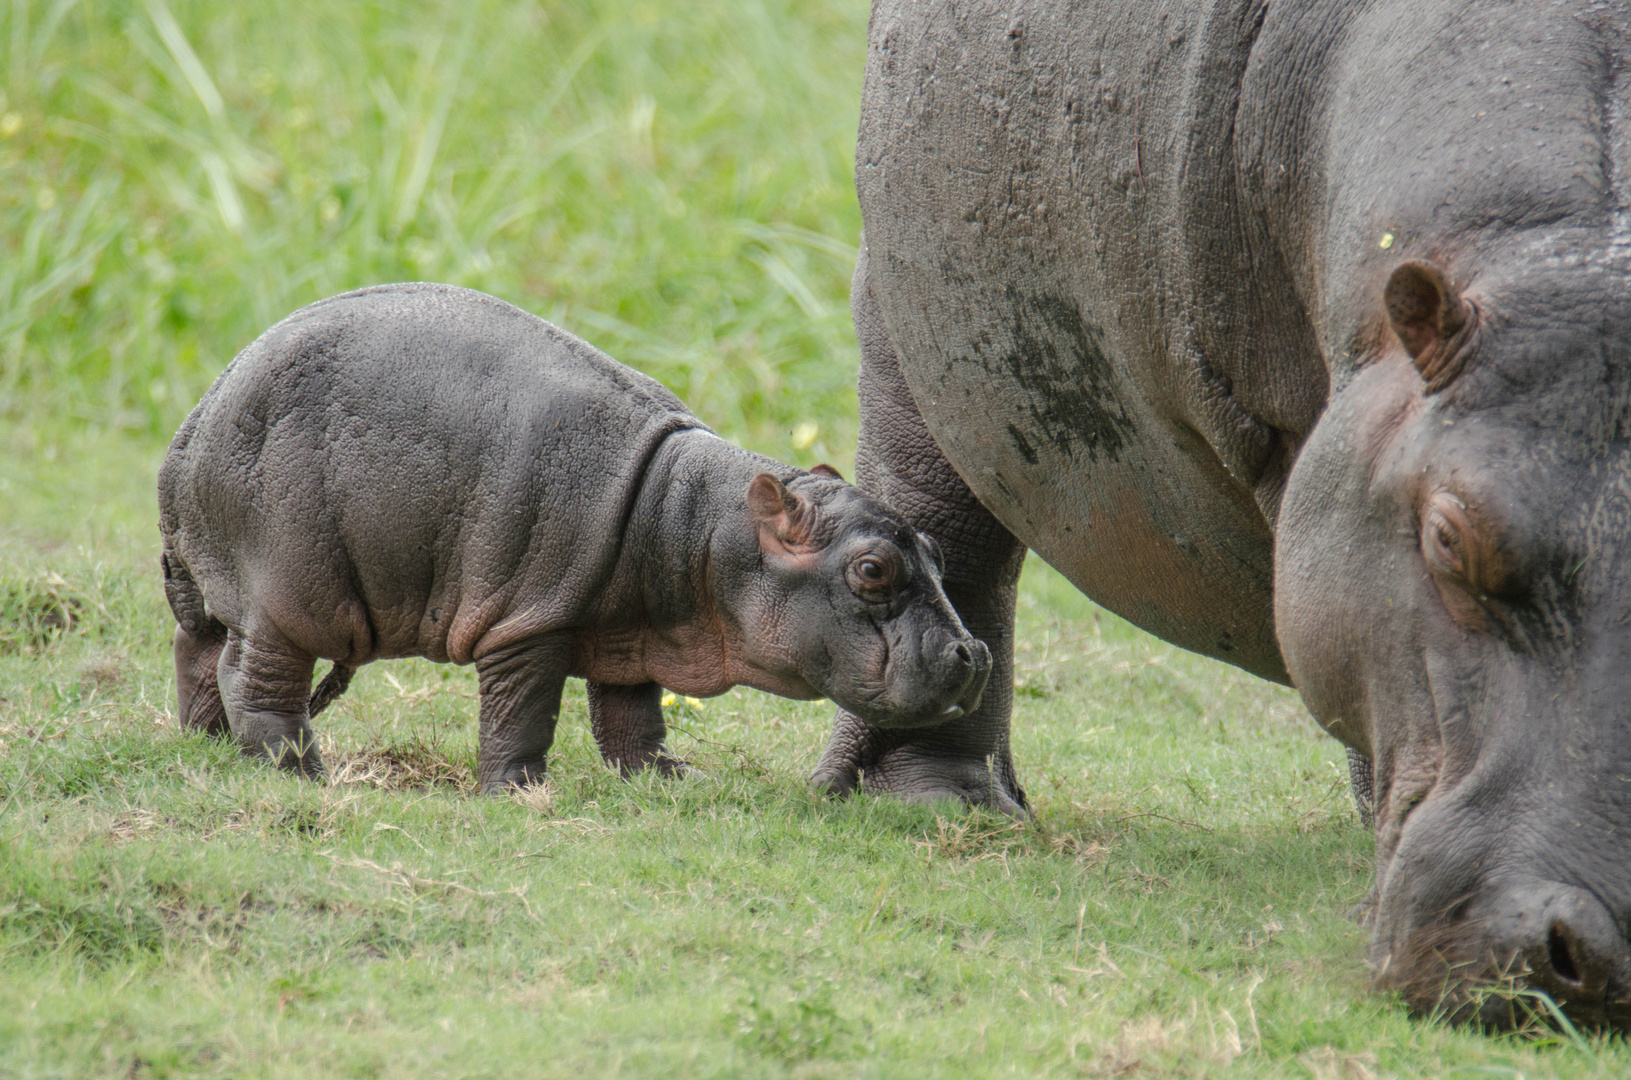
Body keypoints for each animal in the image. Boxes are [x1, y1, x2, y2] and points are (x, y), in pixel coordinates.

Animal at [155, 280, 991, 786]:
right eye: (872, 570)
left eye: (933, 549)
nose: (974, 652)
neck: (694, 523)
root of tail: (195, 419)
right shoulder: (527, 619)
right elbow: (524, 710)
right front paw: (521, 791)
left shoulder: (634, 630)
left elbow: (631, 714)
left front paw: (669, 779)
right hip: (287, 590)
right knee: (255, 678)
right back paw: (300, 772)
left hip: (222, 588)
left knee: (197, 655)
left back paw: (204, 747)